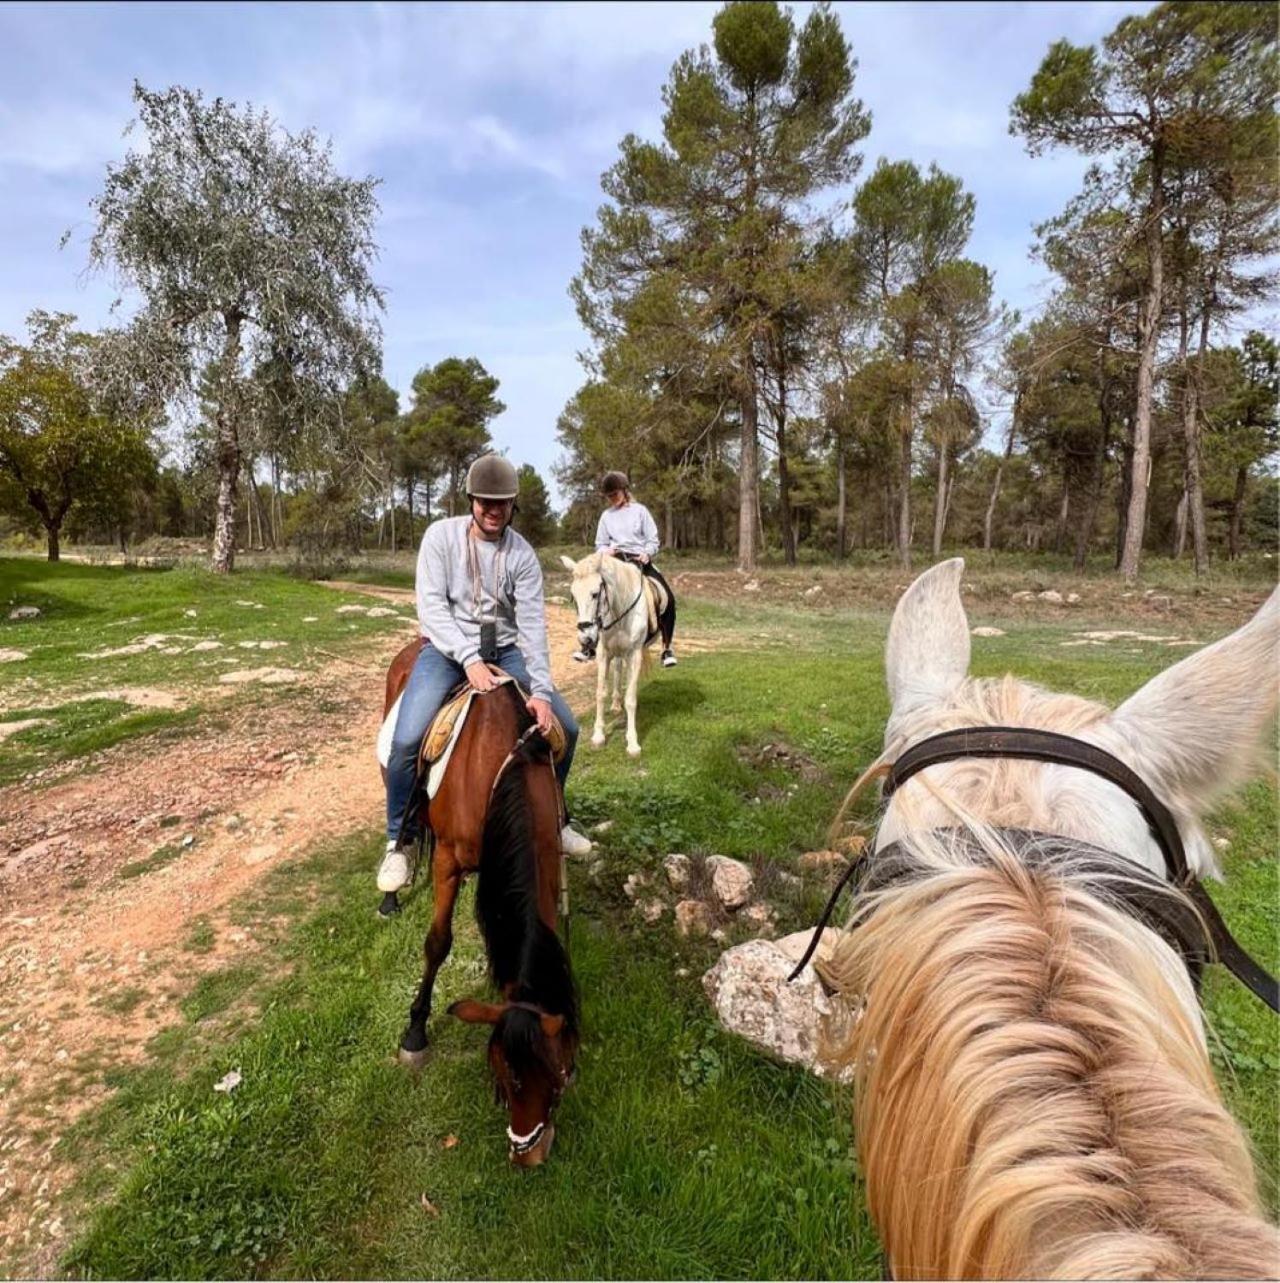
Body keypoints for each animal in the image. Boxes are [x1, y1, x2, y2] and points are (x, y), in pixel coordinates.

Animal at [382, 636, 579, 1170]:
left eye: (562, 1073)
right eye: (504, 1074)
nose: (530, 1154)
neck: (497, 771)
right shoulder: (448, 861)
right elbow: (437, 943)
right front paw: (415, 1032)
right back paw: (391, 882)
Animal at [564, 549, 661, 749]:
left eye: (595, 594)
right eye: (573, 596)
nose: (585, 638)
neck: (619, 610)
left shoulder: (634, 655)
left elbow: (631, 699)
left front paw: (633, 743)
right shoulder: (603, 654)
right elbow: (600, 694)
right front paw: (598, 735)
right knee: (617, 667)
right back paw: (616, 704)